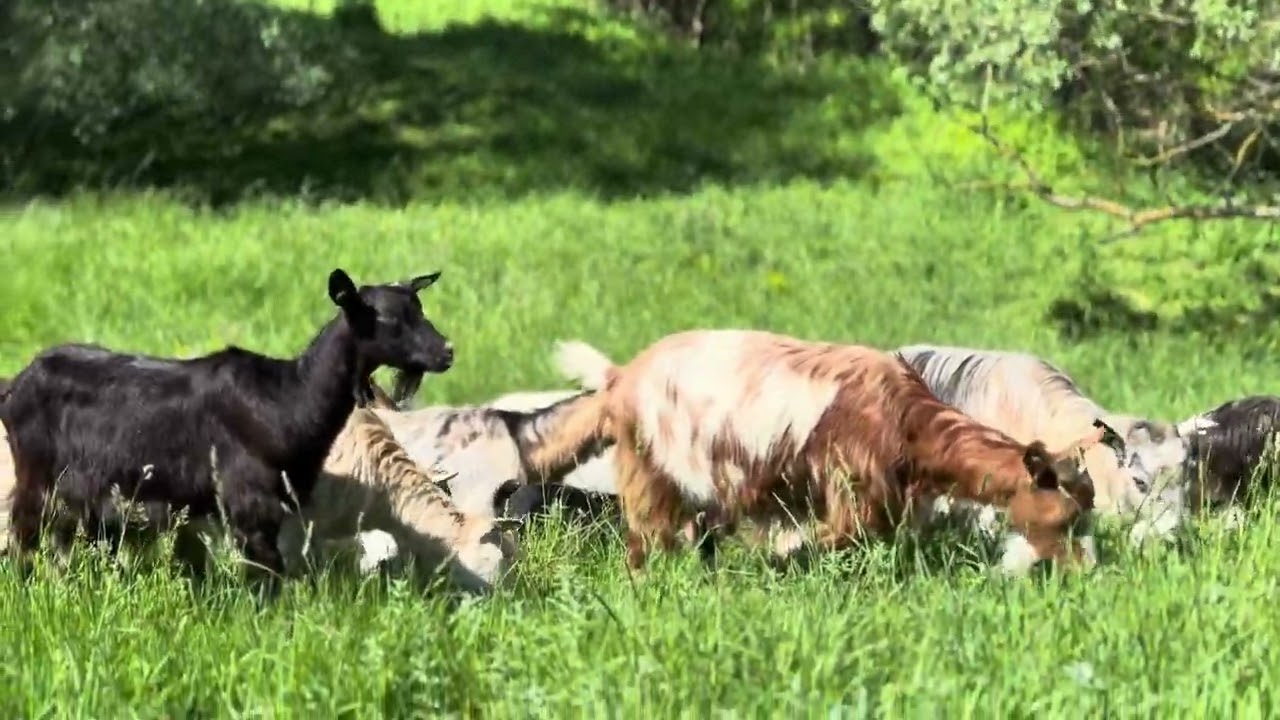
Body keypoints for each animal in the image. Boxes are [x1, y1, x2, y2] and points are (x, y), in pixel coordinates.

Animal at [0, 268, 454, 581]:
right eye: (390, 320)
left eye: (420, 310)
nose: (447, 352)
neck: (288, 399)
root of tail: (16, 384)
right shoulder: (249, 503)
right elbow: (266, 578)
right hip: (37, 480)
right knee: (22, 540)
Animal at [532, 329, 1123, 577]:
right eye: (1064, 518)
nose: (1086, 574)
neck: (910, 422)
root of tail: (619, 381)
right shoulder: (851, 486)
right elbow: (834, 539)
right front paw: (776, 562)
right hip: (651, 472)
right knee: (643, 546)